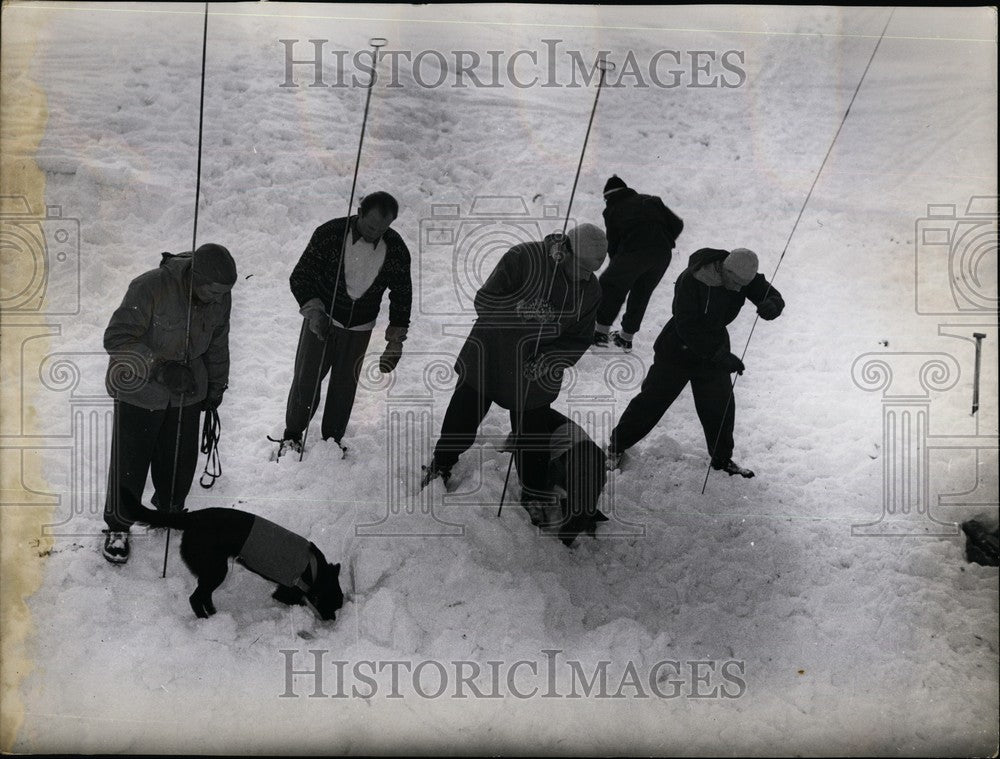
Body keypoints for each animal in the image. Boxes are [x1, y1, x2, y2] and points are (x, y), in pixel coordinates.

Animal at [122, 496, 344, 620]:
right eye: (333, 604)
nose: (332, 621)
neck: (316, 570)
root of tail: (192, 517)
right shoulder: (286, 591)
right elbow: (298, 600)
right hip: (216, 569)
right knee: (195, 598)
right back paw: (205, 620)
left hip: (212, 570)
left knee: (204, 595)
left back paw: (213, 614)